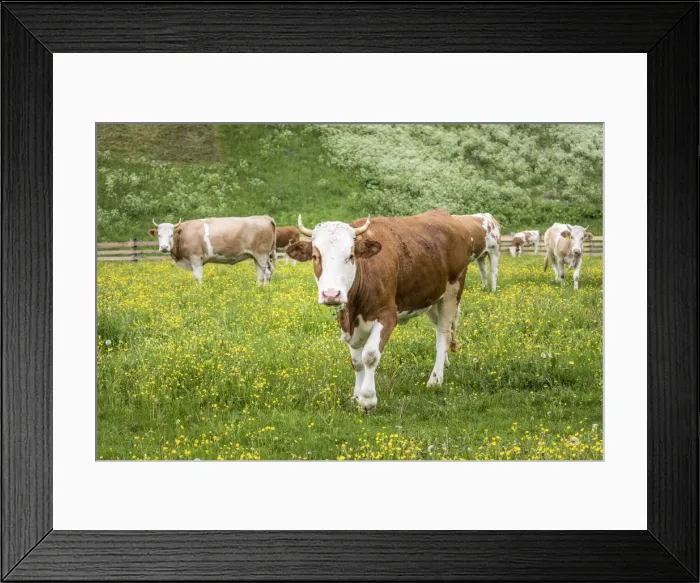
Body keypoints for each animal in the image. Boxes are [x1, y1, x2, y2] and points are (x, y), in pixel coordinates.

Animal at [148, 216, 277, 284]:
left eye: (171, 235)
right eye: (158, 235)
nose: (164, 247)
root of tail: (264, 217)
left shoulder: (196, 259)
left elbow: (198, 278)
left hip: (262, 255)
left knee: (267, 273)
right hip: (258, 257)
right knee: (261, 275)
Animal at [286, 209, 476, 413]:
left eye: (351, 255)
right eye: (315, 256)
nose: (331, 294)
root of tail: (444, 214)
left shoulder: (387, 316)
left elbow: (369, 356)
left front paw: (368, 399)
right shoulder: (348, 324)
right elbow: (357, 362)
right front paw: (357, 396)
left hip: (452, 292)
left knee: (443, 334)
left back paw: (435, 379)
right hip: (432, 299)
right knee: (443, 331)